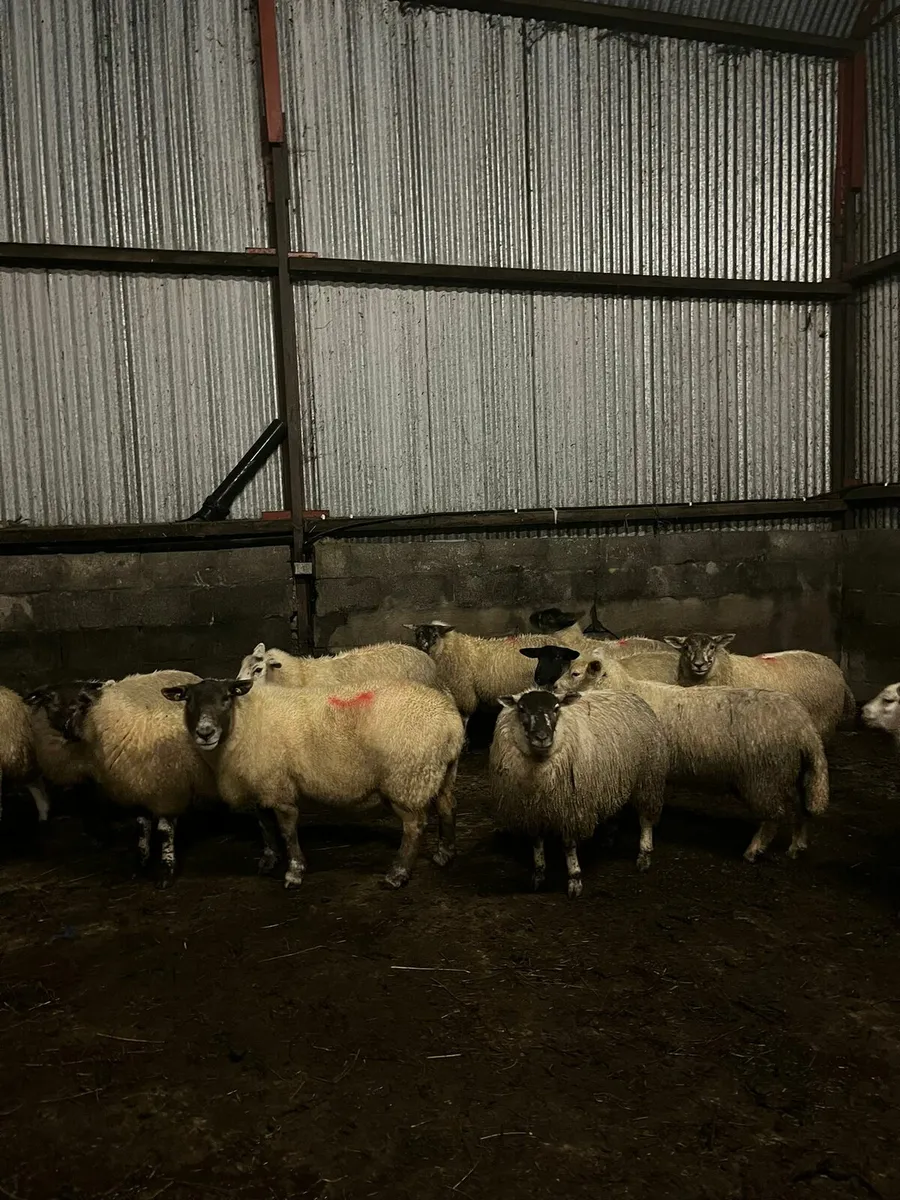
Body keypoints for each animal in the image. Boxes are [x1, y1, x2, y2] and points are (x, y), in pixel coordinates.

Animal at [67, 670, 217, 886]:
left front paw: (166, 871)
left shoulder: (167, 790)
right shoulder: (138, 787)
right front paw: (140, 864)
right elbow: (141, 828)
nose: (66, 730)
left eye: (78, 707)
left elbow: (164, 832)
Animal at [162, 677, 465, 890]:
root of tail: (450, 720)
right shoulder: (263, 782)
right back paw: (445, 854)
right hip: (441, 772)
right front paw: (269, 859)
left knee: (415, 826)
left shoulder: (279, 786)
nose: (205, 732)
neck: (243, 722)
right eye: (188, 701)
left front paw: (294, 872)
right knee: (448, 807)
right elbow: (264, 824)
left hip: (407, 777)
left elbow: (287, 830)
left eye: (226, 698)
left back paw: (397, 874)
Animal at [490, 687, 668, 897]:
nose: (541, 737)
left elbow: (568, 845)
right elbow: (536, 841)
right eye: (522, 709)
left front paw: (574, 879)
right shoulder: (532, 809)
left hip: (648, 778)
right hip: (614, 780)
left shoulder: (571, 809)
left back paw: (644, 855)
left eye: (556, 708)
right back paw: (608, 839)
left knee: (645, 819)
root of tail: (630, 695)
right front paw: (539, 874)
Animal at [554, 649, 829, 862]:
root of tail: (805, 727)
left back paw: (754, 850)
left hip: (764, 777)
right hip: (787, 773)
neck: (624, 689)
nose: (554, 686)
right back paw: (796, 846)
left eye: (575, 673)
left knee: (773, 817)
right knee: (800, 809)